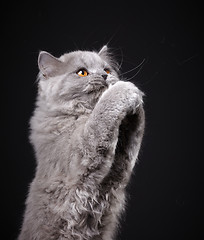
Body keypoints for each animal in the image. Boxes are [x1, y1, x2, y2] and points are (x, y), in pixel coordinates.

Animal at [17, 46, 145, 239]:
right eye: (82, 72)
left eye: (107, 70)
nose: (105, 76)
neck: (79, 114)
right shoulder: (81, 153)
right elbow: (102, 113)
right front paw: (125, 88)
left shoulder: (118, 170)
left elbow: (133, 135)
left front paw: (134, 99)